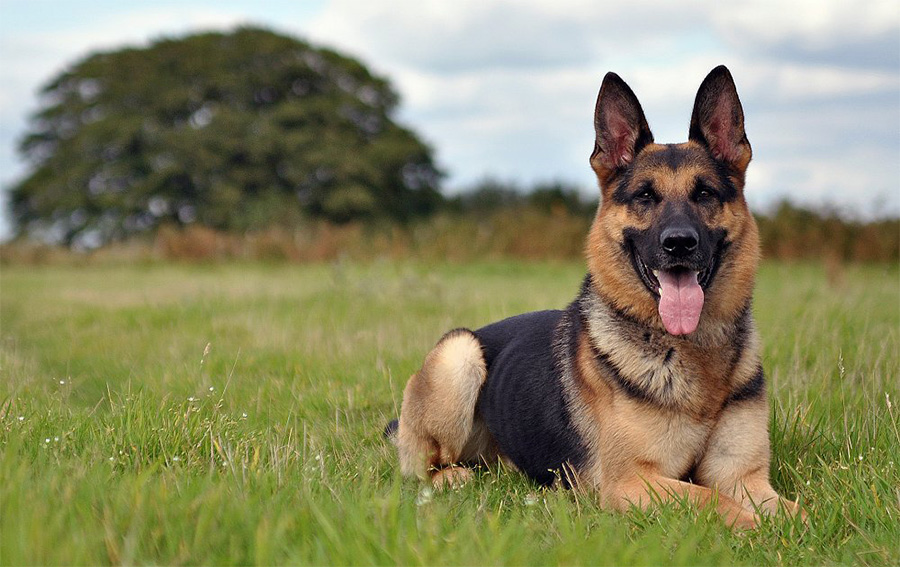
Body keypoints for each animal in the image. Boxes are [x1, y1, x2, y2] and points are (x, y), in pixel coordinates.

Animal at [384, 65, 800, 528]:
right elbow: (713, 501)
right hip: (458, 354)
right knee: (424, 469)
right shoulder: (633, 482)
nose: (679, 244)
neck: (690, 351)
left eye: (705, 193)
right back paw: (452, 477)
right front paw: (756, 528)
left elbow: (793, 510)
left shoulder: (743, 476)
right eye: (645, 196)